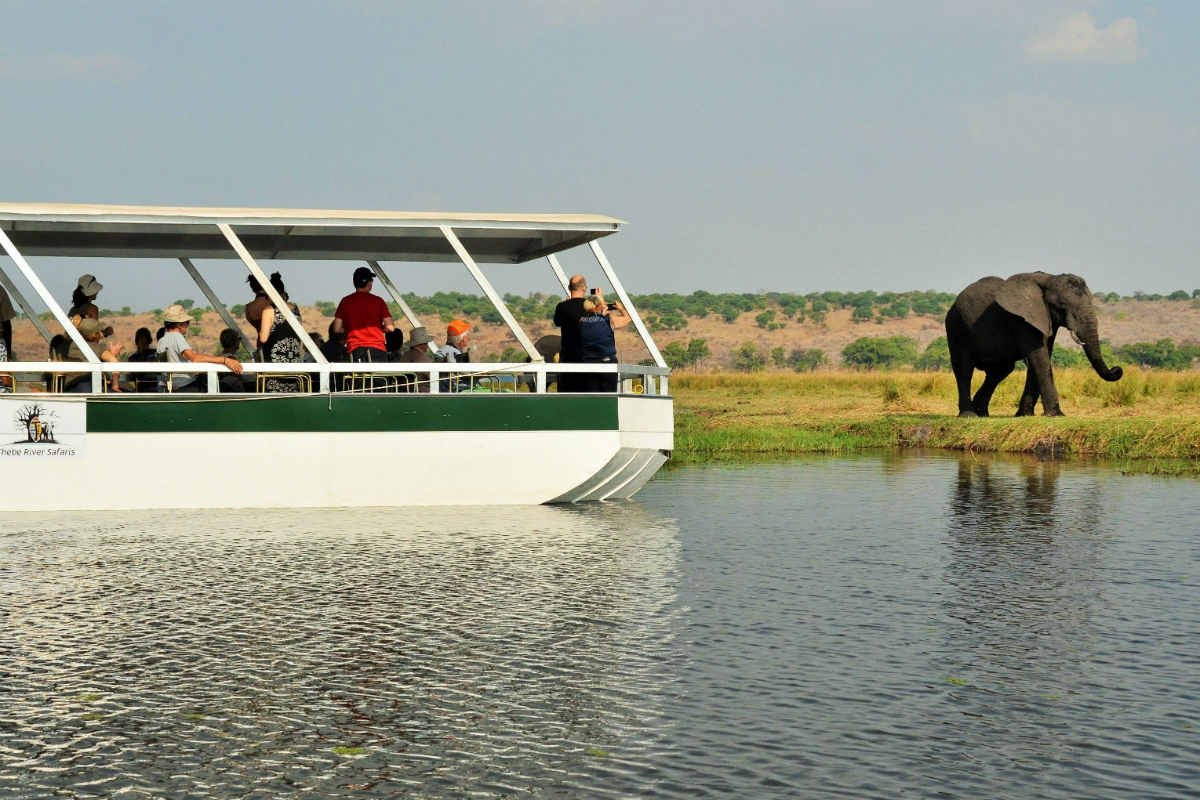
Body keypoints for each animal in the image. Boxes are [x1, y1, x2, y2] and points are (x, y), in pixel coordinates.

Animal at [945, 271, 1123, 417]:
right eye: (1062, 306)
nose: (1117, 369)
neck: (1049, 279)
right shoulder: (1023, 321)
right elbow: (1040, 358)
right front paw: (1056, 415)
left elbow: (1040, 357)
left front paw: (1024, 415)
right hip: (956, 326)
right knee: (964, 368)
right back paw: (969, 415)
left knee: (1000, 371)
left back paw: (981, 412)